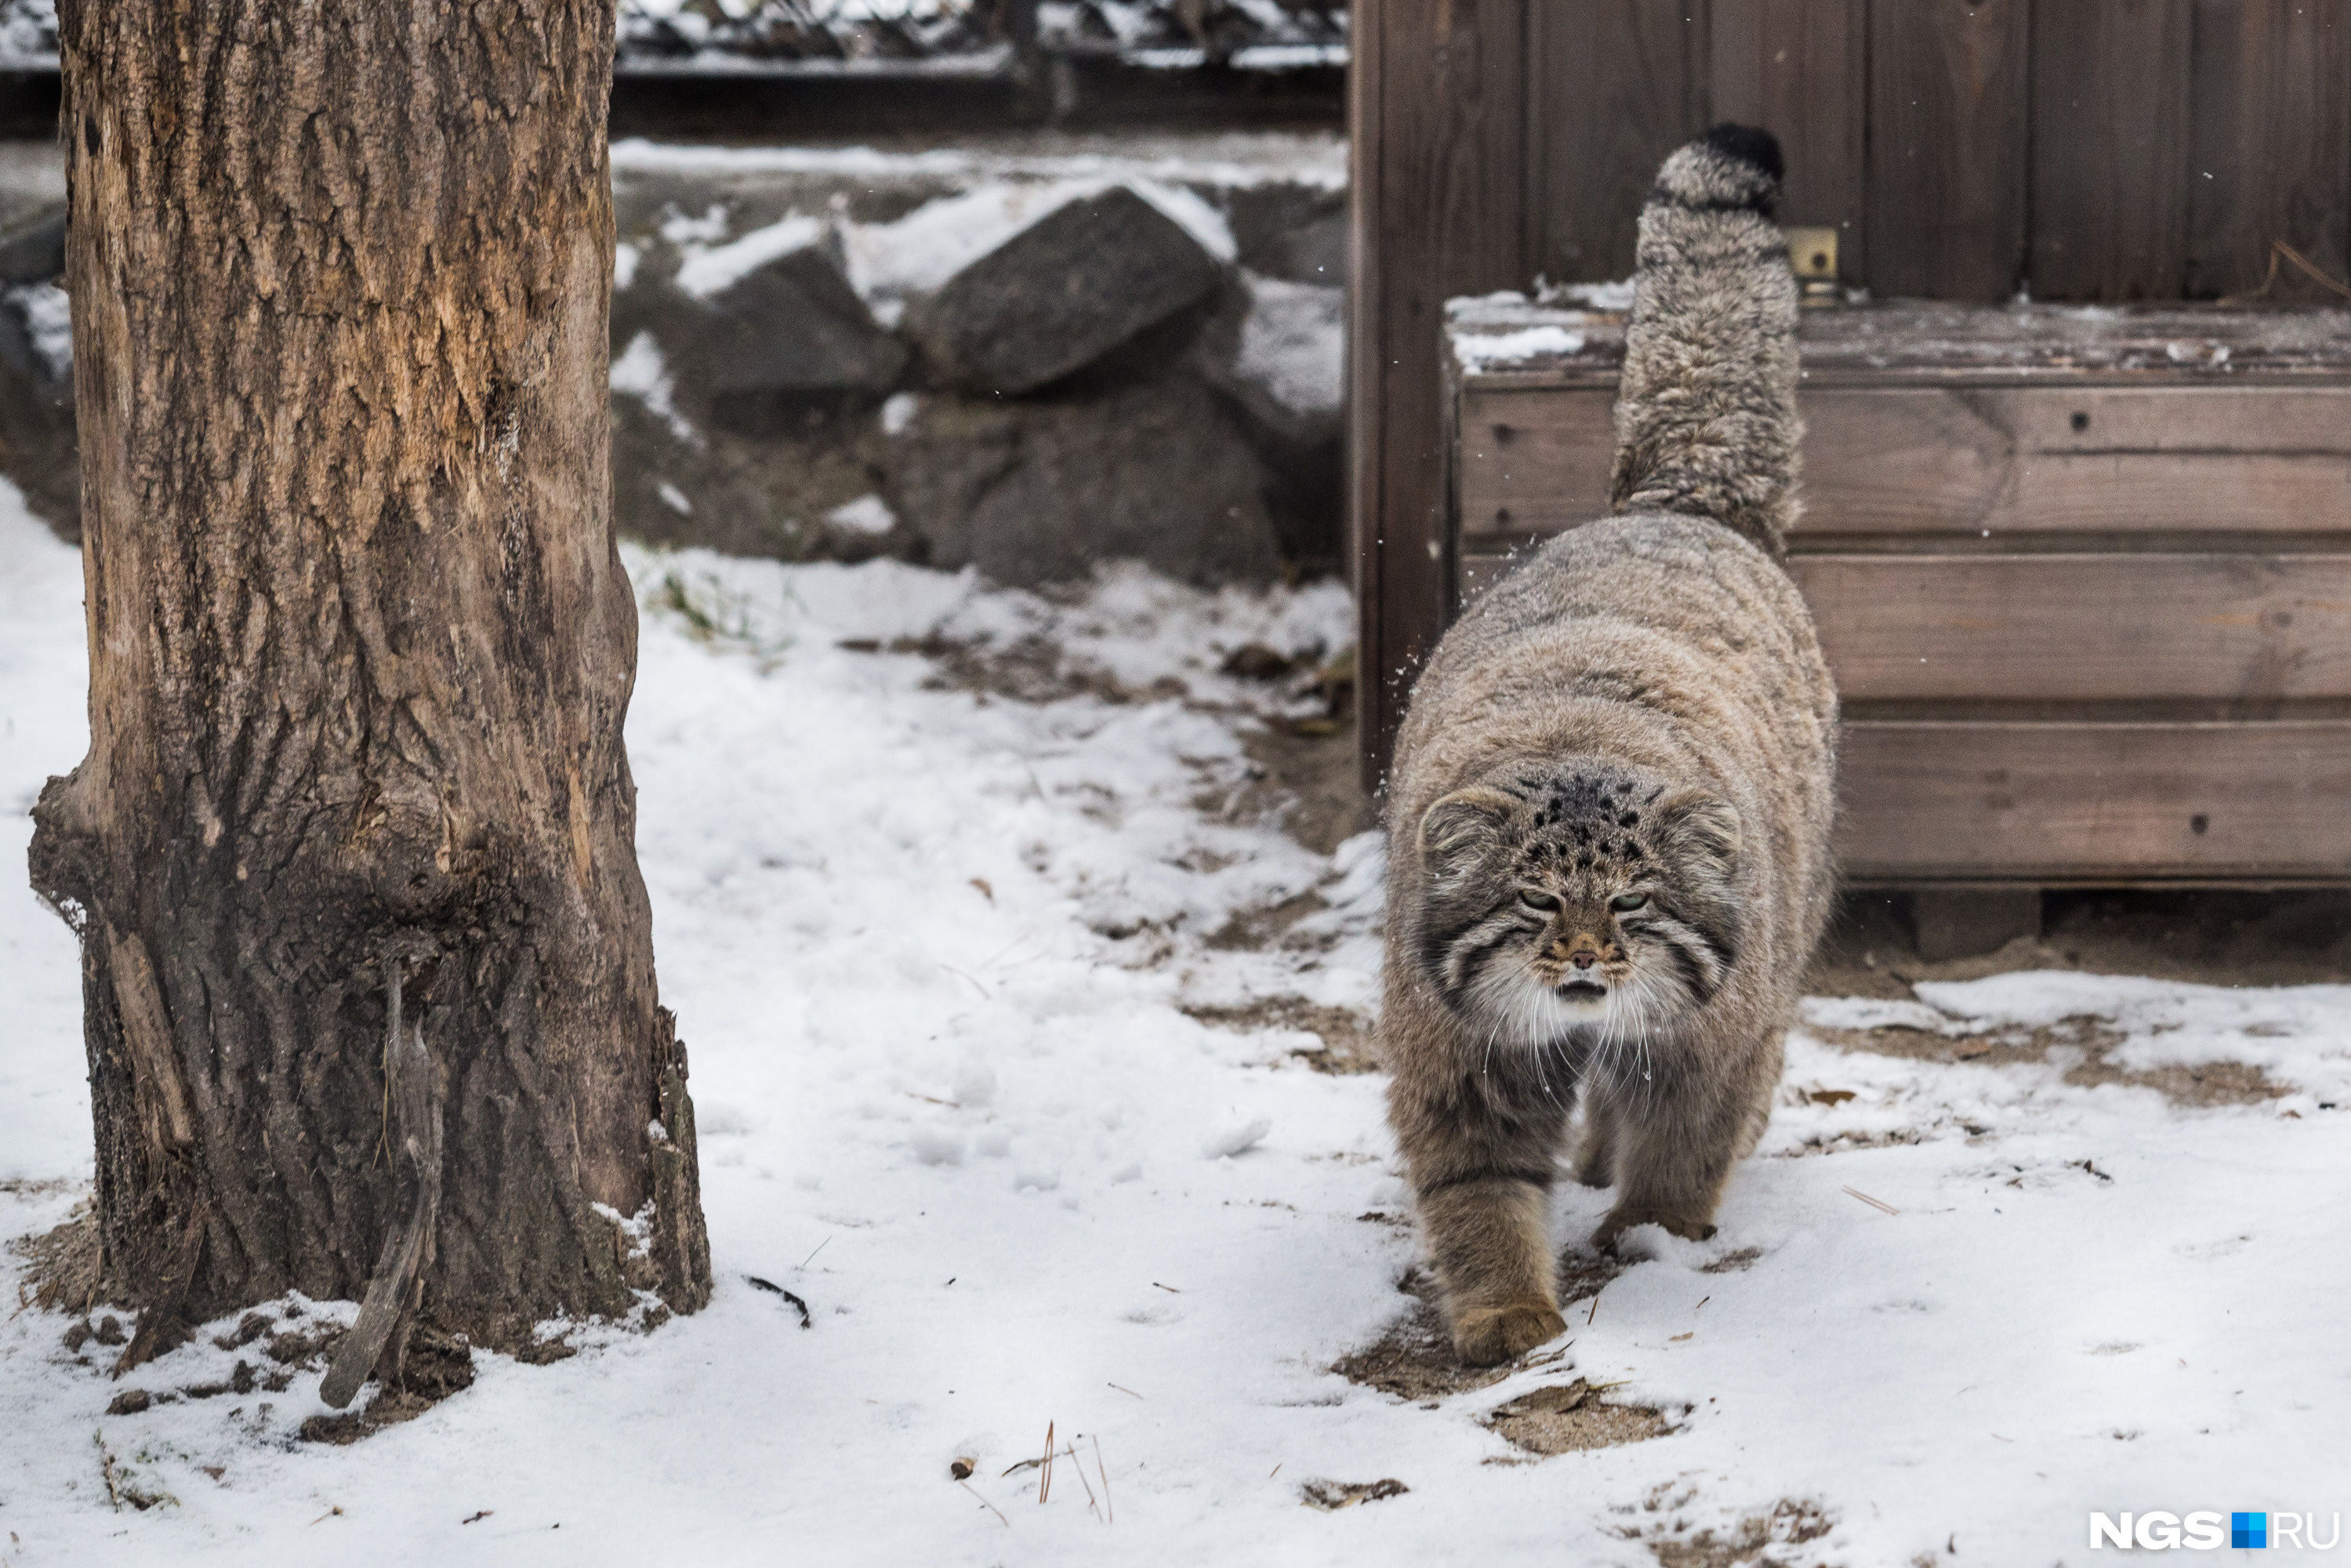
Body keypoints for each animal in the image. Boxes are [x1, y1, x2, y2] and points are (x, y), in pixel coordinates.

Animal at [1373, 125, 1834, 1363]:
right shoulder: (1456, 1057)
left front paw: (1655, 1236)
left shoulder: (1711, 1037)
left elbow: (1686, 1137)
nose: (1583, 959)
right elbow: (1478, 1191)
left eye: (1631, 903)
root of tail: (1676, 500)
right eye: (1535, 901)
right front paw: (1506, 1312)